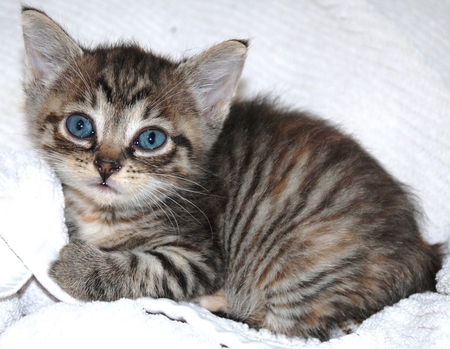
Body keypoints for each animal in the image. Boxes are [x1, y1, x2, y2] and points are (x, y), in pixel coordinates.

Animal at [22, 7, 442, 340]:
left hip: (304, 263)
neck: (105, 213)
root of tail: (423, 253)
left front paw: (74, 266)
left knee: (290, 329)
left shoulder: (200, 254)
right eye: (80, 126)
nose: (106, 166)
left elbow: (145, 266)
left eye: (151, 139)